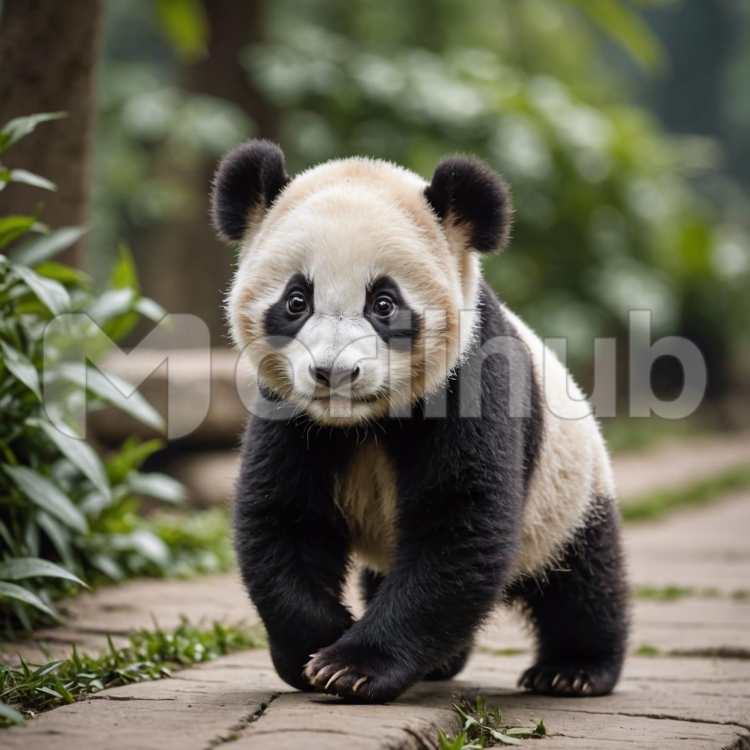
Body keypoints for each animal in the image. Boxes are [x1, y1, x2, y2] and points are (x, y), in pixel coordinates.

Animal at [212, 140, 629, 704]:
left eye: (384, 303)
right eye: (297, 300)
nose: (334, 373)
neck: (362, 422)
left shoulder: (470, 381)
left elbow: (458, 523)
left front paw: (352, 667)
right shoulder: (289, 412)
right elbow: (284, 517)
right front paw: (315, 647)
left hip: (567, 493)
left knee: (582, 581)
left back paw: (573, 670)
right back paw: (443, 662)